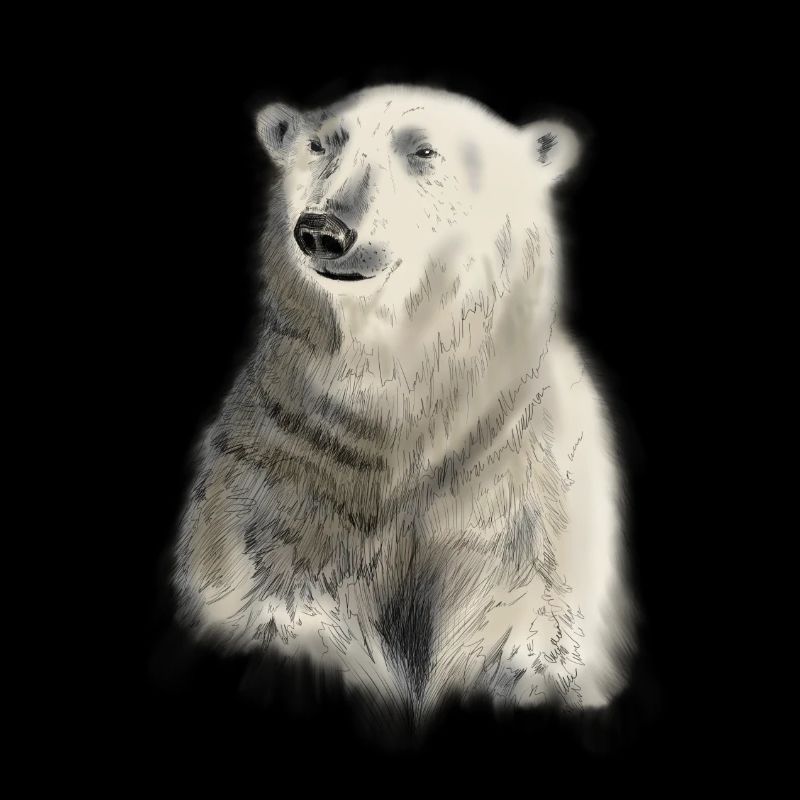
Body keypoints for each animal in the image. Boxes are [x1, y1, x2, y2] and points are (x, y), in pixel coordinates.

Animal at [172, 84, 635, 733]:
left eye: (423, 151)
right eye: (321, 144)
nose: (322, 228)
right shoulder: (293, 469)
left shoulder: (520, 486)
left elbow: (526, 624)